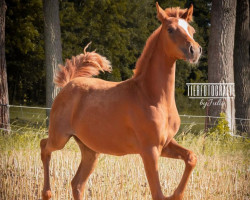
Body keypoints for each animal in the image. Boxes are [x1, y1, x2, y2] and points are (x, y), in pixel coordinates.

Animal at [40, 3, 201, 200]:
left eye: (192, 30)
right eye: (170, 29)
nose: (195, 50)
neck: (152, 97)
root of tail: (68, 83)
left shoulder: (165, 144)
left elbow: (191, 157)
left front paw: (175, 195)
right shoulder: (149, 150)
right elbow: (157, 193)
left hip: (90, 150)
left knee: (77, 184)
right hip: (60, 137)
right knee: (44, 147)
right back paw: (46, 193)